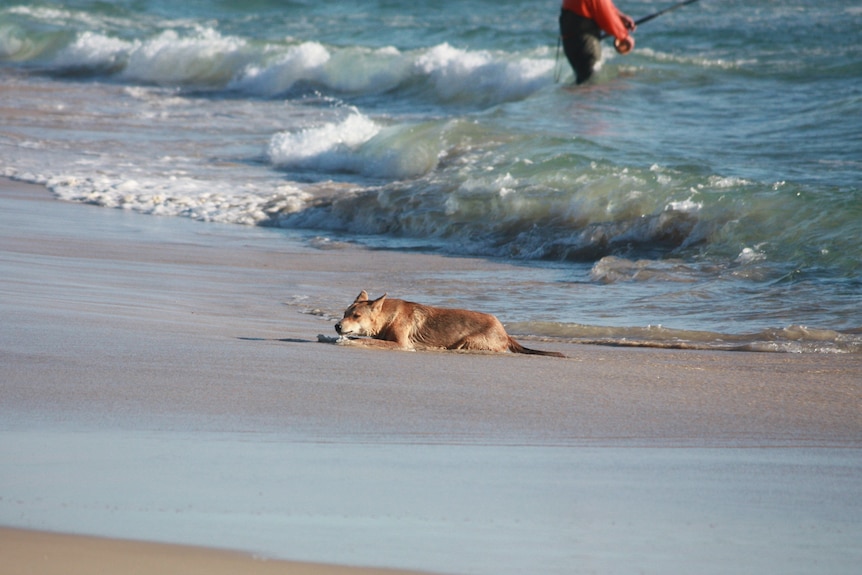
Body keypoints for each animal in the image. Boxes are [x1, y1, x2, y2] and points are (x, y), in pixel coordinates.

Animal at [328, 290, 564, 358]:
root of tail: (505, 332)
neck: (388, 316)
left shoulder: (400, 344)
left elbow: (364, 340)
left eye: (356, 316)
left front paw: (349, 341)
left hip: (469, 340)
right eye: (345, 313)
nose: (337, 326)